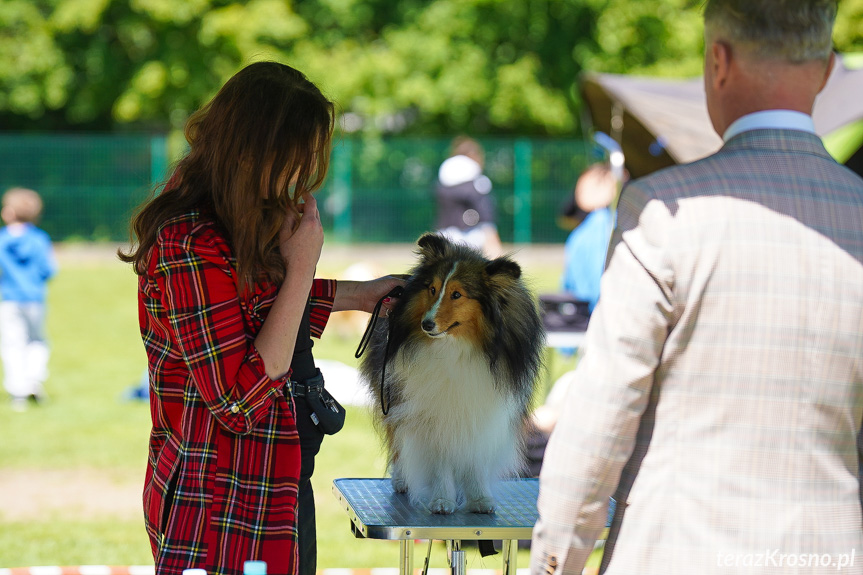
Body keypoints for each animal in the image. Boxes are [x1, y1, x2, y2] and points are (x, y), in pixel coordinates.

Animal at [362, 232, 544, 516]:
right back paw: (402, 480)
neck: (456, 347)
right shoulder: (430, 412)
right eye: (432, 289)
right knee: (398, 441)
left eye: (457, 294)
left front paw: (479, 498)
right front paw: (441, 499)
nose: (426, 324)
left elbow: (475, 458)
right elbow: (439, 459)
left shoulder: (484, 411)